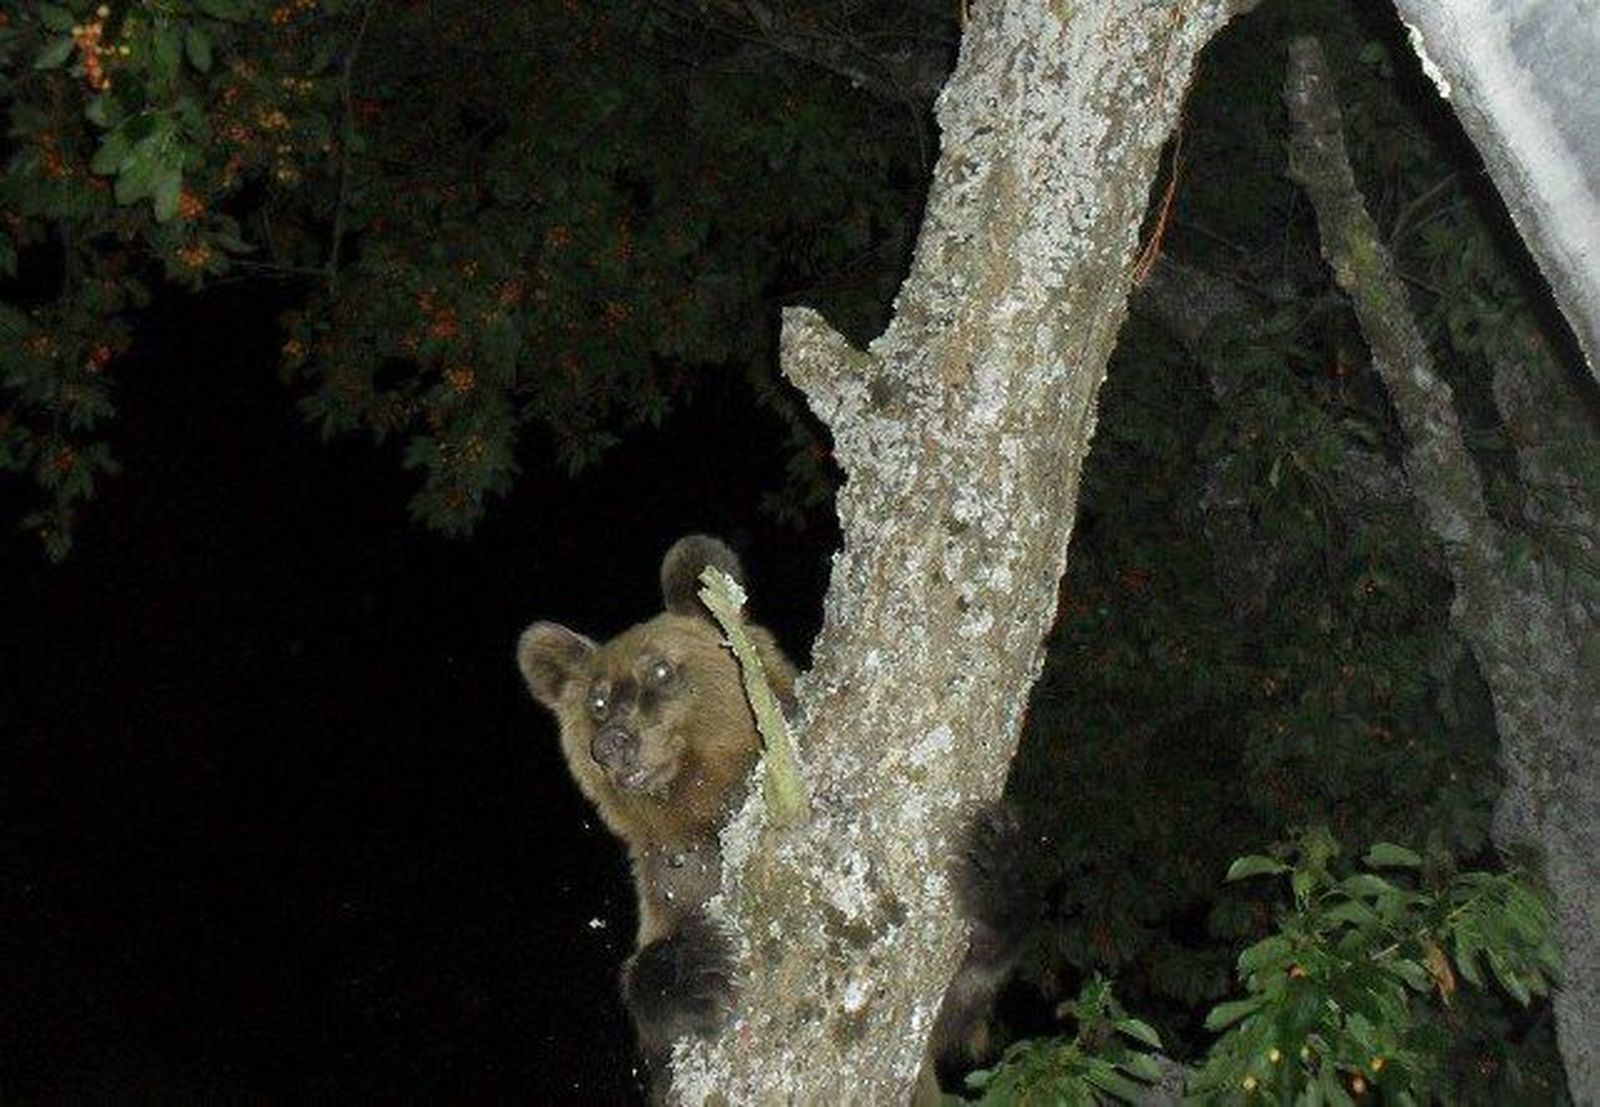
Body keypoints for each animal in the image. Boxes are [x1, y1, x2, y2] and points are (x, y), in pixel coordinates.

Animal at [516, 535, 1026, 1097]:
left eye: (660, 670)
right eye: (598, 701)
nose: (613, 745)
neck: (706, 811)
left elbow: (953, 1005)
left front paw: (991, 864)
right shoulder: (672, 882)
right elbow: (661, 1046)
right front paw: (690, 971)